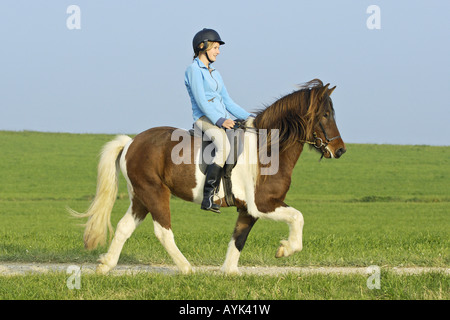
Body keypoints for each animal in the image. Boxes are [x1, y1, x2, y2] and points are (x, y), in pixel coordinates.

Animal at [69, 78, 348, 276]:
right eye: (325, 115)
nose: (340, 150)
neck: (267, 149)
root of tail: (131, 143)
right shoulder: (263, 205)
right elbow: (298, 217)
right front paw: (285, 249)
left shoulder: (248, 209)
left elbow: (238, 238)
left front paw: (229, 272)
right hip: (154, 193)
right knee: (163, 231)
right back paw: (186, 268)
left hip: (140, 196)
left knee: (124, 227)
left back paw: (105, 266)